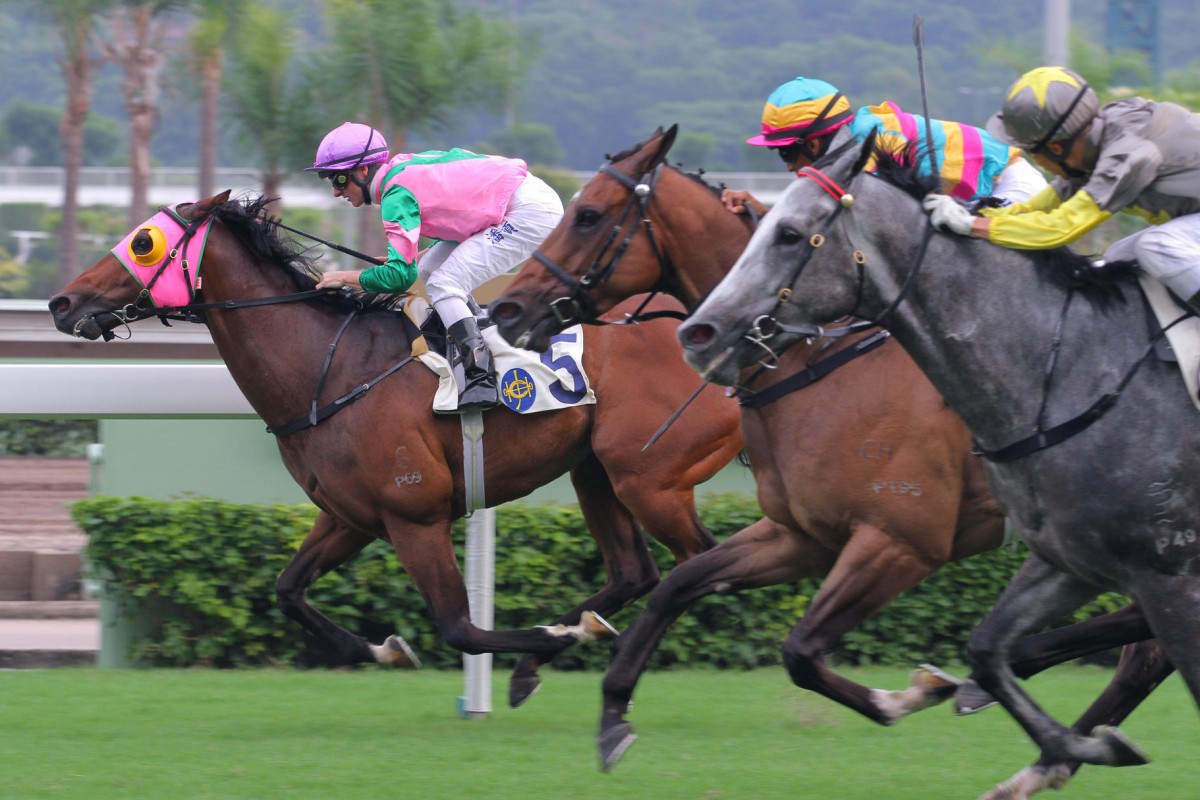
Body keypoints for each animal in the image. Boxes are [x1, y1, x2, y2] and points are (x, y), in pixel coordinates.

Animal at [51, 190, 744, 705]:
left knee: (695, 565)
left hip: (649, 476)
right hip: (597, 469)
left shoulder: (415, 515)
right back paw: (577, 632)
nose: (62, 301)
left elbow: (461, 628)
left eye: (143, 242)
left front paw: (544, 642)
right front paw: (381, 648)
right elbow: (288, 590)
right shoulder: (352, 516)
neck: (328, 369)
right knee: (636, 571)